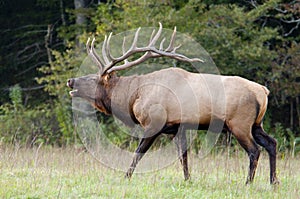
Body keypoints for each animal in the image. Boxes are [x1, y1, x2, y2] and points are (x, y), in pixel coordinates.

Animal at [67, 22, 280, 184]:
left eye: (93, 79)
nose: (71, 80)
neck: (135, 97)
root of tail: (263, 92)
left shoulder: (154, 122)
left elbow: (138, 153)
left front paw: (125, 177)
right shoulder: (178, 127)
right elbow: (183, 157)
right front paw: (188, 179)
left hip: (239, 123)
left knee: (254, 150)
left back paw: (248, 182)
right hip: (256, 124)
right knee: (272, 143)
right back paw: (273, 181)